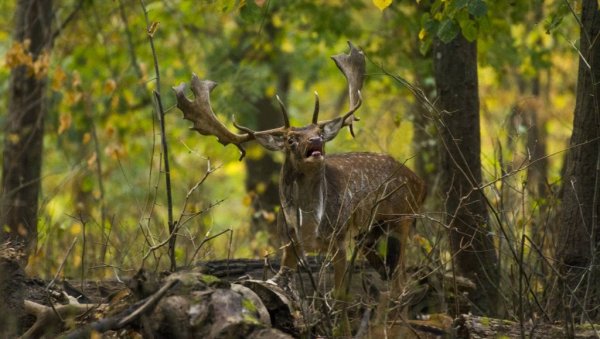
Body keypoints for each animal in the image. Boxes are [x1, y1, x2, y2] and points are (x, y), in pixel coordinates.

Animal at [173, 43, 426, 324]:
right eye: (291, 139)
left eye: (319, 131)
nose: (316, 140)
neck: (309, 225)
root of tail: (420, 183)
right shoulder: (288, 243)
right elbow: (282, 283)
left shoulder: (338, 238)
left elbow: (340, 296)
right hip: (370, 232)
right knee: (388, 274)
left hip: (402, 218)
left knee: (401, 280)